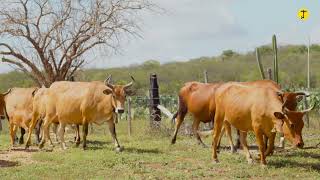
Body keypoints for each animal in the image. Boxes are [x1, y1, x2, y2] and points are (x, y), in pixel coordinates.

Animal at [172, 80, 308, 150]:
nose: (289, 114)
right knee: (179, 122)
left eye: (295, 104)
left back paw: (202, 143)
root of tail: (187, 84)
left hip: (198, 115)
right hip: (183, 108)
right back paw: (173, 140)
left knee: (194, 127)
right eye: (285, 102)